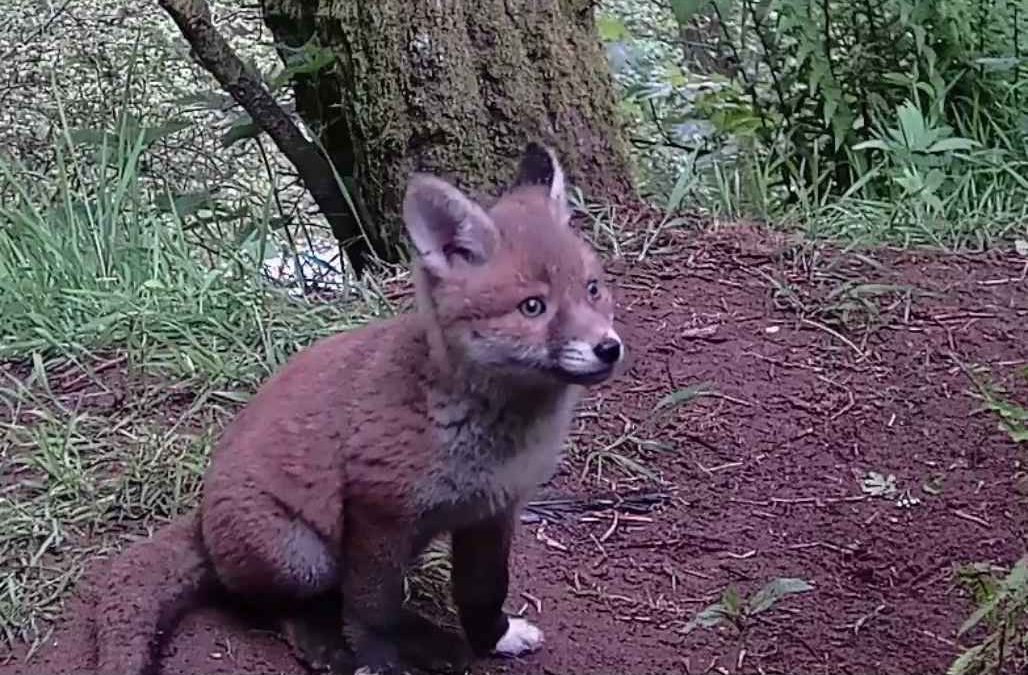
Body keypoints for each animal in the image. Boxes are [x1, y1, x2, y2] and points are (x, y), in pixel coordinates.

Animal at [89, 142, 625, 675]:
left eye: (593, 288)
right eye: (533, 307)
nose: (609, 348)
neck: (490, 437)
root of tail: (200, 521)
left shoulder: (492, 512)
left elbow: (483, 591)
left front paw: (493, 639)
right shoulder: (378, 509)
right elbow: (372, 611)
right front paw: (379, 662)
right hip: (301, 557)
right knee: (276, 607)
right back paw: (329, 646)